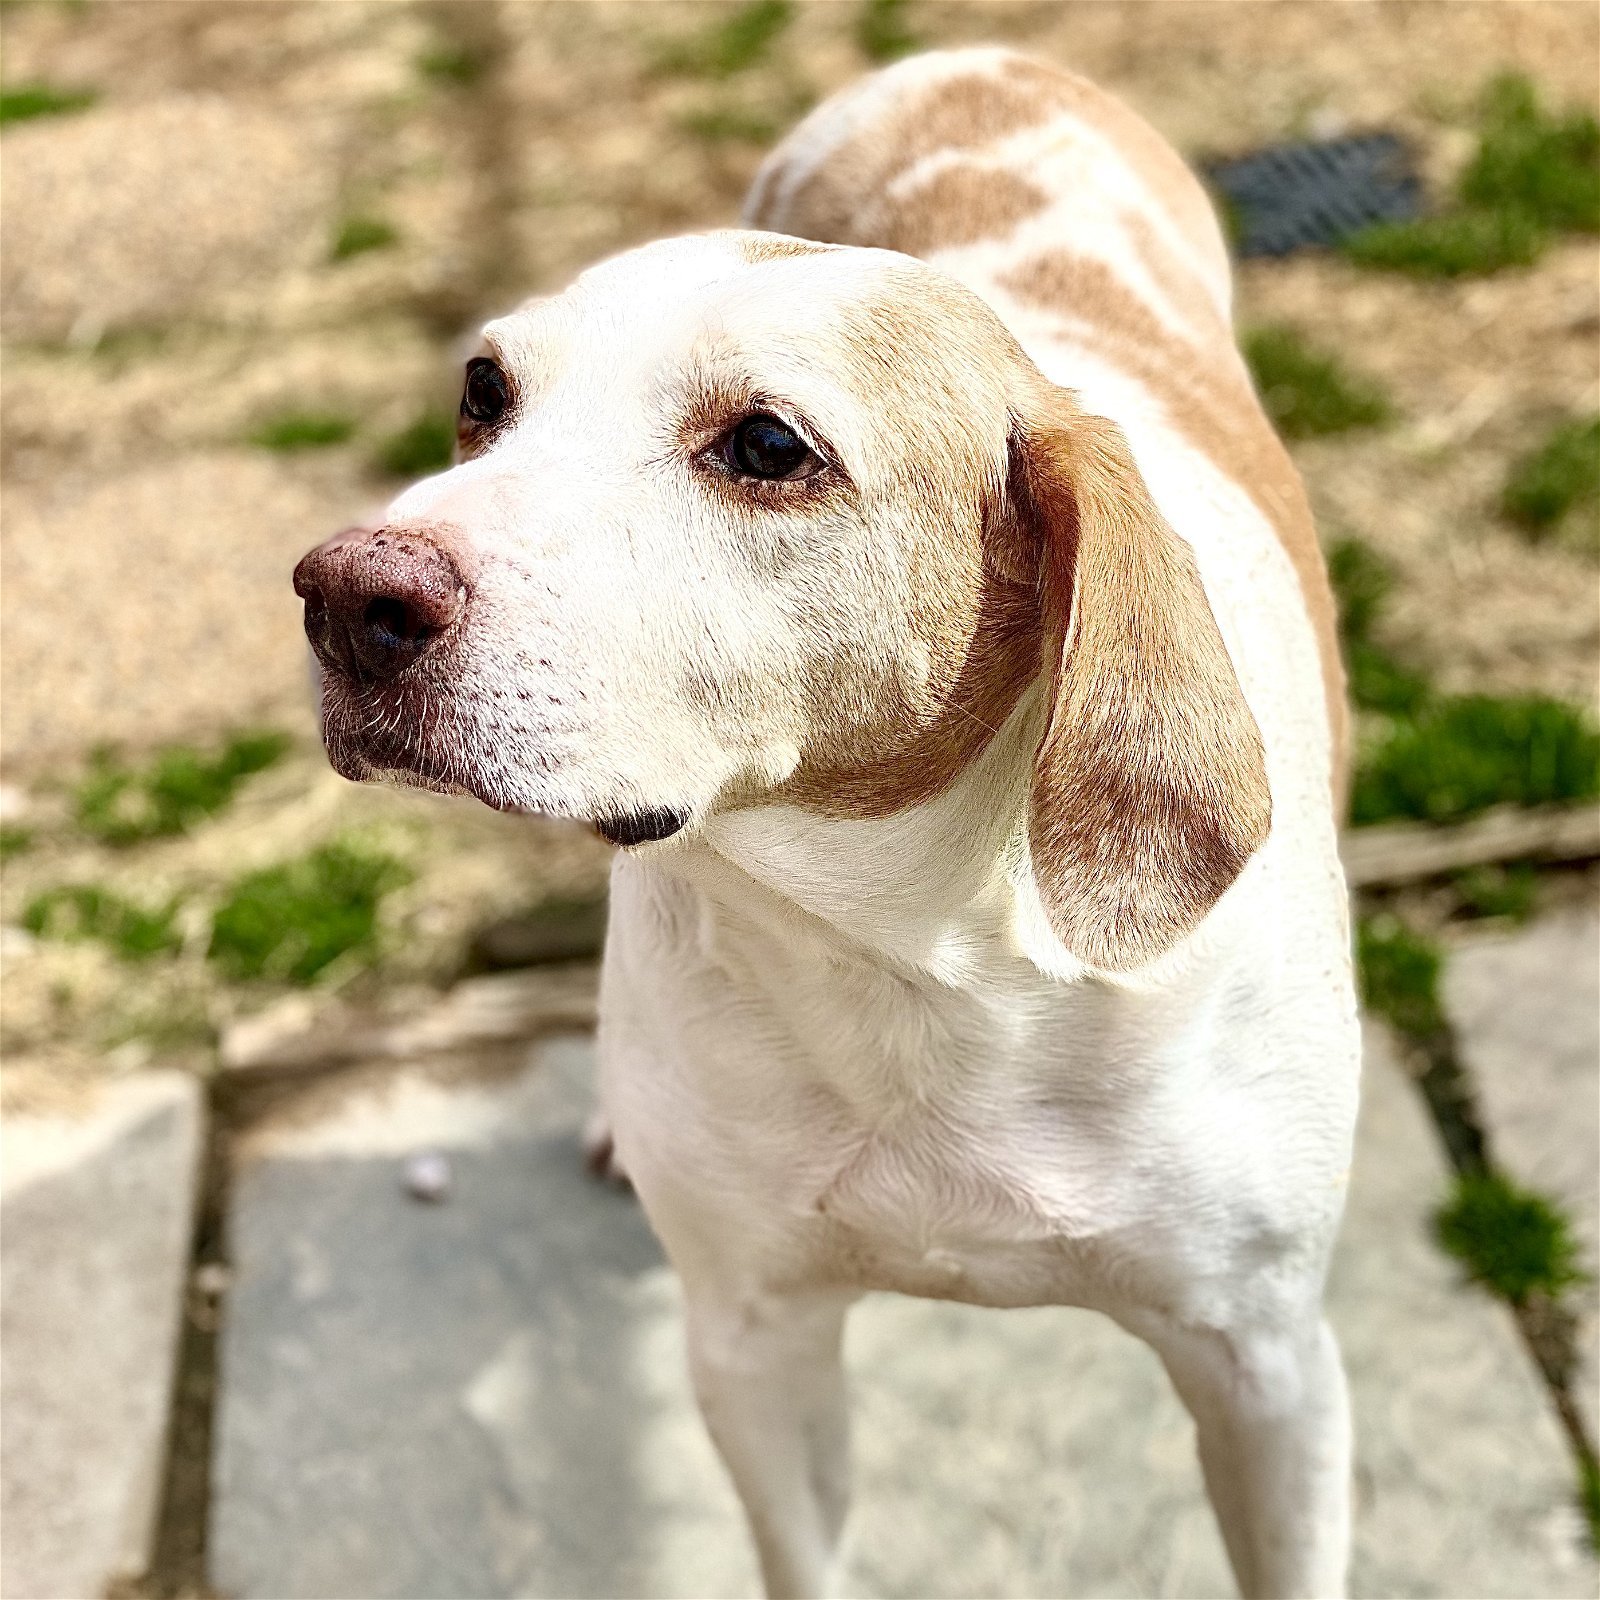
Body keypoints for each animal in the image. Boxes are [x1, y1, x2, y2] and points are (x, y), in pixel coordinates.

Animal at [291, 50, 1363, 1600]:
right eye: (484, 392)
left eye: (764, 445)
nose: (343, 595)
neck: (913, 961)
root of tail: (981, 58)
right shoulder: (754, 1336)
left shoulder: (1267, 1368)